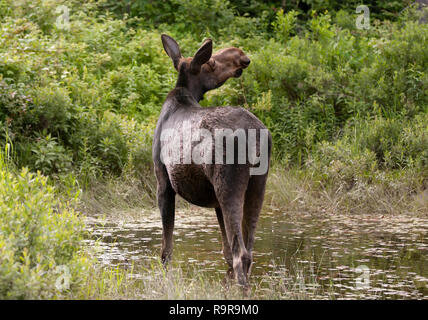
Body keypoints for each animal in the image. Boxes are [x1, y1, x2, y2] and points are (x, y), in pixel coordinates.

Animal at [151, 35, 270, 288]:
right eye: (212, 62)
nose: (242, 57)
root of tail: (256, 135)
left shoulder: (163, 182)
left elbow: (166, 250)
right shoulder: (214, 201)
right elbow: (224, 251)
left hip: (228, 184)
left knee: (240, 253)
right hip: (257, 185)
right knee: (247, 251)